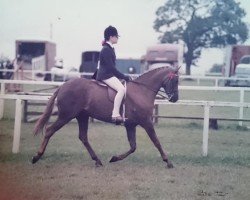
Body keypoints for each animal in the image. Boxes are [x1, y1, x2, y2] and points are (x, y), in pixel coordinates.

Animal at [32, 66, 179, 168]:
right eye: (175, 80)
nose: (175, 99)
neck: (141, 91)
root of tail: (63, 86)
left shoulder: (130, 125)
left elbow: (133, 147)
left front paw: (114, 158)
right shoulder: (146, 122)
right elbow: (156, 142)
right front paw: (168, 162)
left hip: (82, 117)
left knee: (83, 137)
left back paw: (97, 161)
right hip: (66, 116)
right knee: (50, 130)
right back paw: (37, 156)